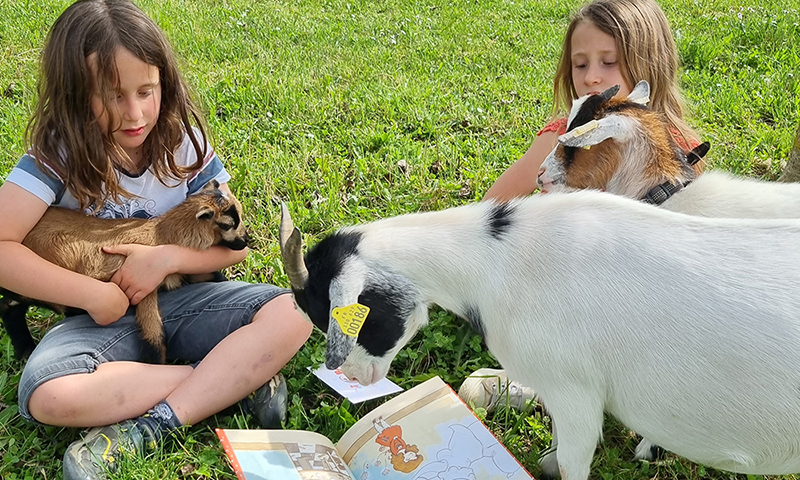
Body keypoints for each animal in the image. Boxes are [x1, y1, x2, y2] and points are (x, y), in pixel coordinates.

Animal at [0, 179, 248, 360]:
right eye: (227, 224)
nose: (246, 241)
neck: (162, 235)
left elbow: (213, 275)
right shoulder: (144, 287)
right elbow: (154, 336)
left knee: (10, 306)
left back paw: (24, 350)